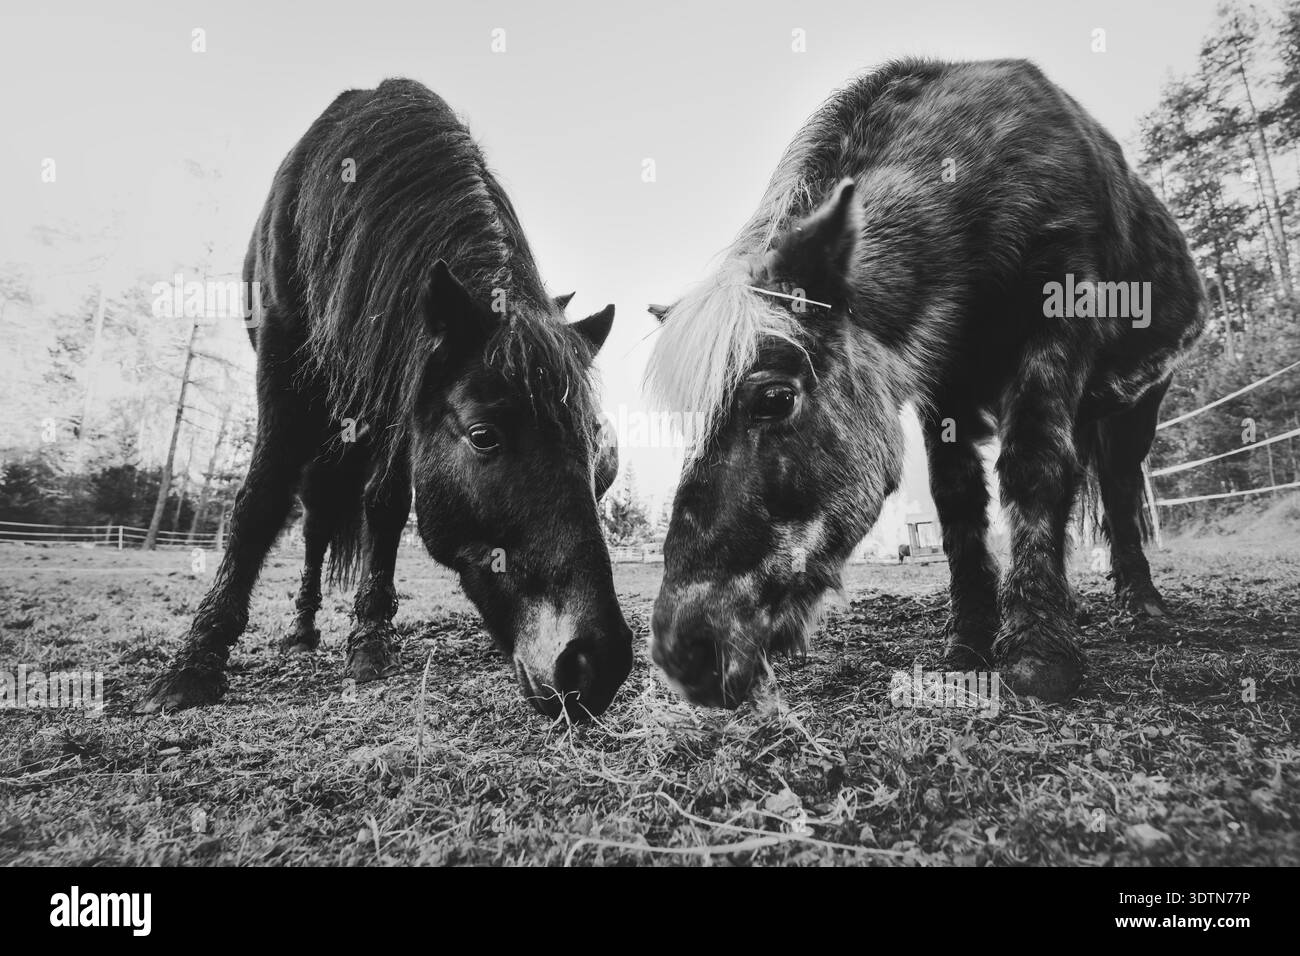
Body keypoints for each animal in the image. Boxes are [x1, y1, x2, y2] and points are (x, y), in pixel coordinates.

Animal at [139, 78, 633, 719]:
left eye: (597, 453)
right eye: (484, 436)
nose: (598, 663)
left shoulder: (404, 396)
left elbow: (387, 505)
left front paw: (370, 637)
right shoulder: (282, 362)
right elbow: (259, 502)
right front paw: (195, 664)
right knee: (315, 519)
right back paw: (301, 631)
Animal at [645, 58, 1206, 707]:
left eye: (775, 398)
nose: (683, 651)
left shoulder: (1058, 322)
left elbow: (1034, 467)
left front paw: (1038, 648)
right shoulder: (943, 385)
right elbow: (957, 496)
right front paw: (970, 640)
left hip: (1138, 407)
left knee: (1118, 490)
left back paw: (1141, 603)